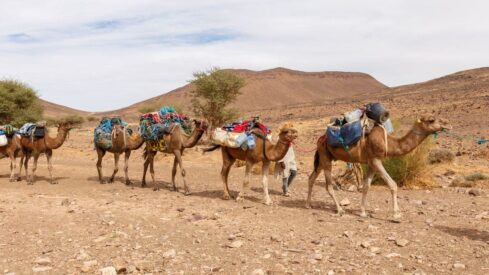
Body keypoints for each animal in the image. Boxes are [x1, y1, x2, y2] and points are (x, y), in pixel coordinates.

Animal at [304, 115, 450, 221]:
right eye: (431, 120)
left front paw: (363, 212)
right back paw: (339, 210)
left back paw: (308, 204)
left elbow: (366, 186)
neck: (389, 143)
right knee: (328, 186)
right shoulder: (376, 160)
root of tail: (321, 138)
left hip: (323, 158)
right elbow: (393, 185)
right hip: (325, 156)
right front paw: (396, 214)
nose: (447, 124)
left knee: (311, 178)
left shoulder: (371, 163)